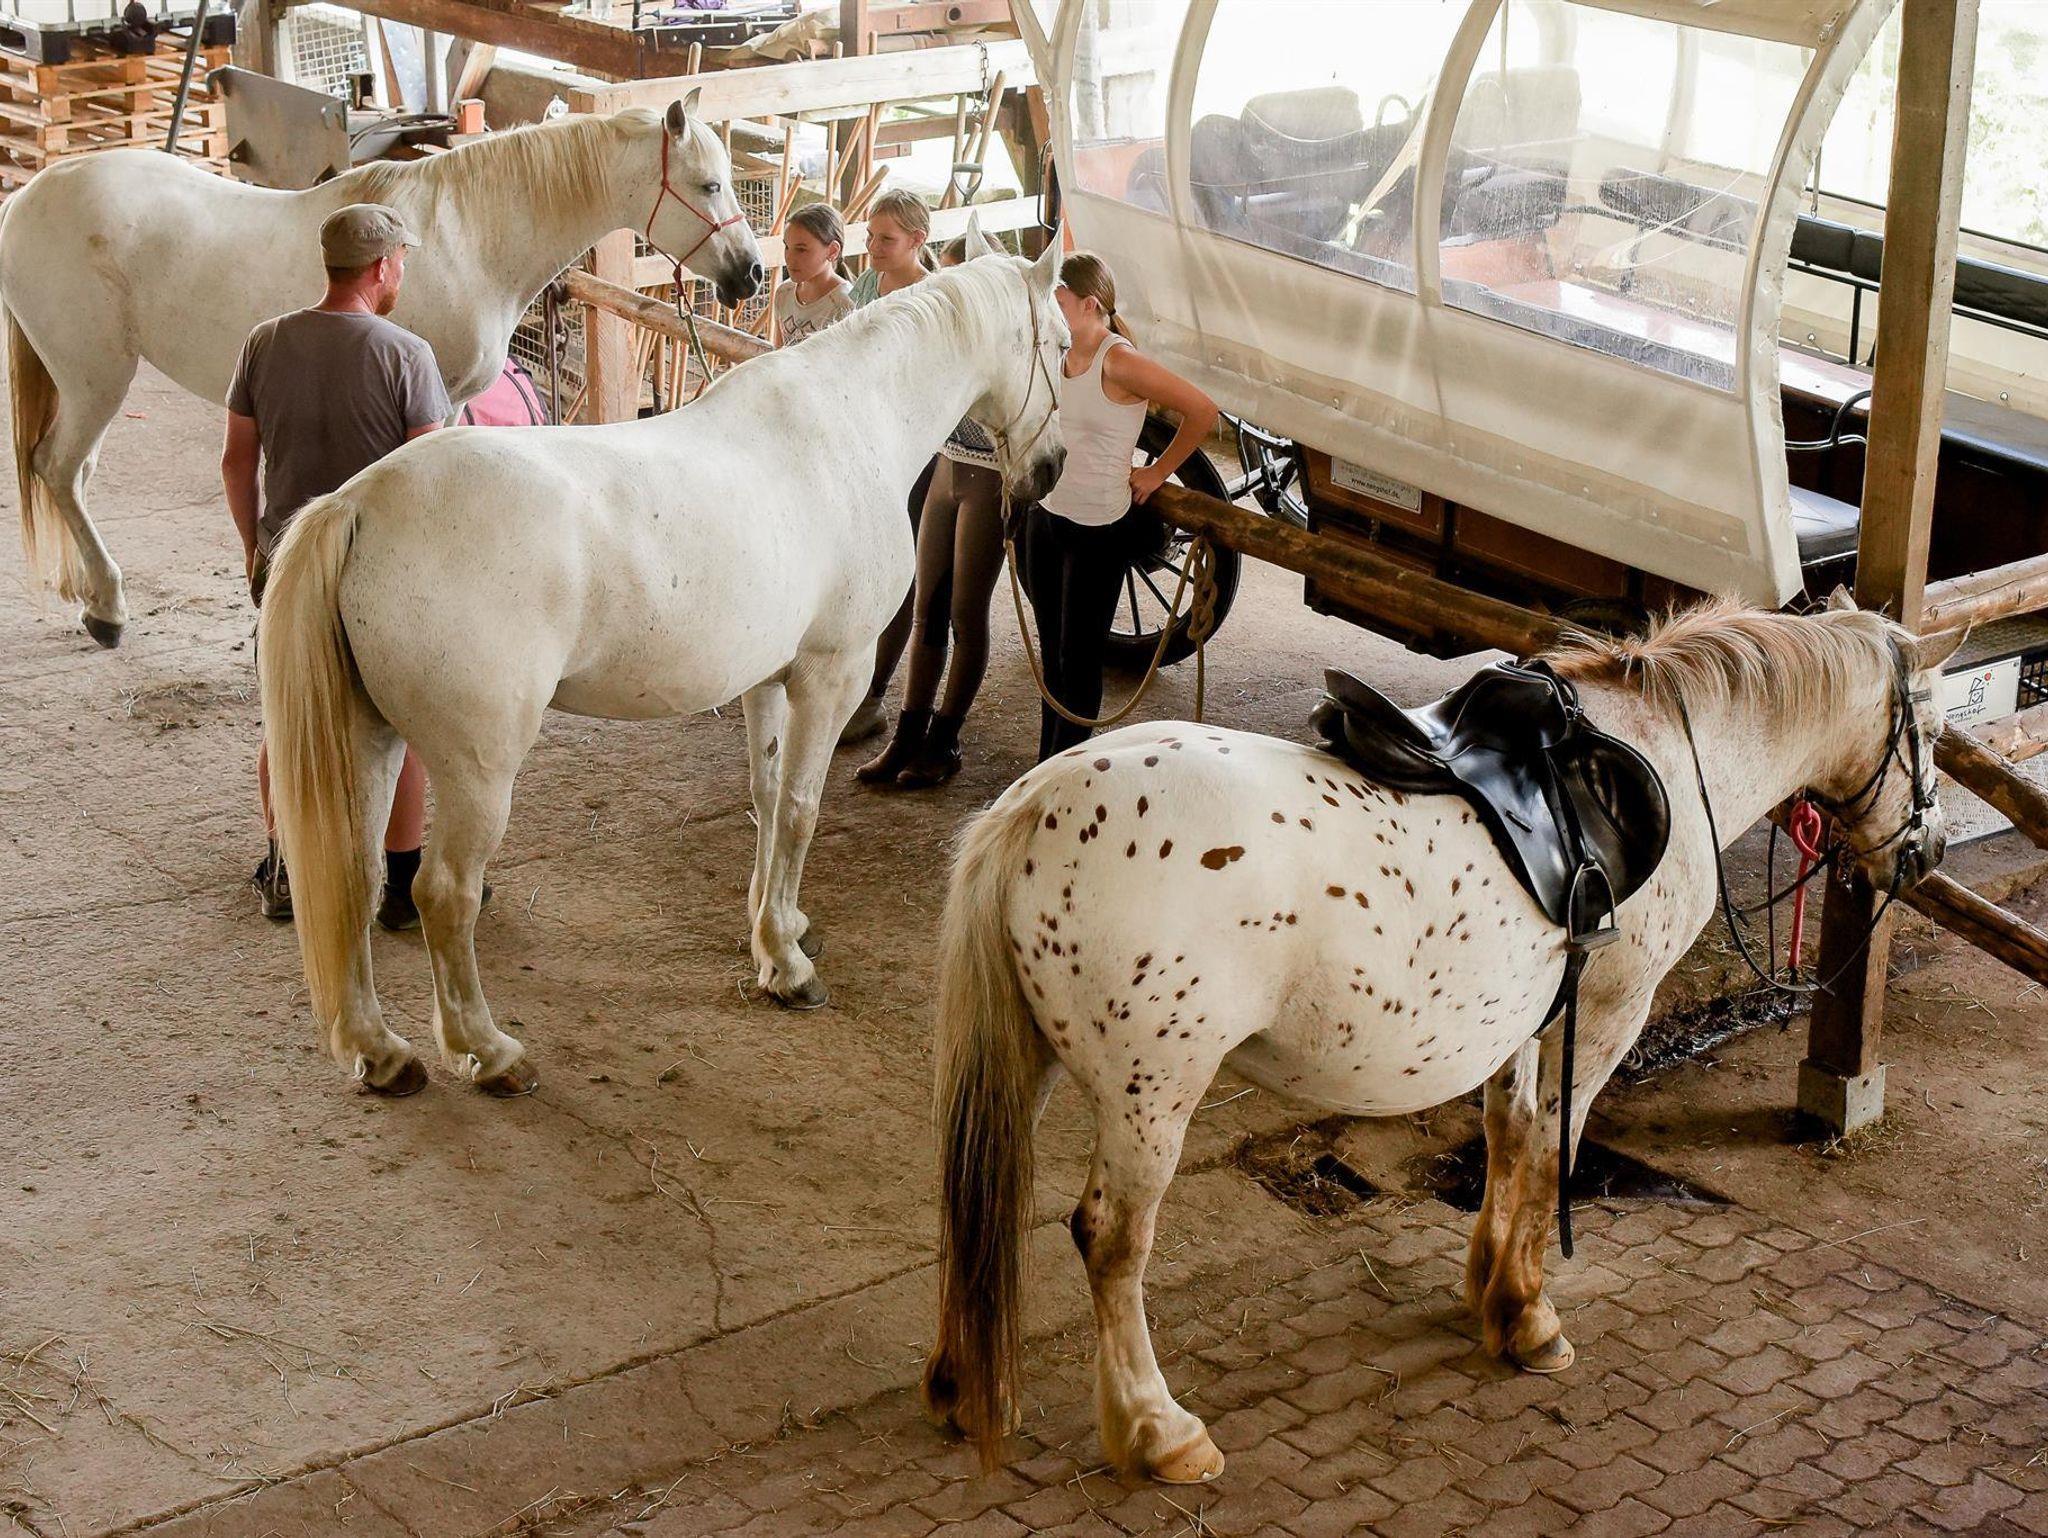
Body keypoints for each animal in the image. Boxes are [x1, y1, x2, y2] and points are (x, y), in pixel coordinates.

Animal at [1, 95, 763, 647]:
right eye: (709, 183)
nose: (751, 274)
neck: (467, 235)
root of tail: (29, 197)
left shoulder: (446, 403)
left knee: (73, 476)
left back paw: (85, 592)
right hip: (96, 378)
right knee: (57, 469)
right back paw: (107, 608)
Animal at [257, 231, 1068, 1098]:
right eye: (1061, 344)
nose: (1051, 469)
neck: (854, 419)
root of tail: (360, 503)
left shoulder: (766, 682)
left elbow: (767, 800)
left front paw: (770, 929)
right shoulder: (832, 676)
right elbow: (803, 809)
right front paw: (789, 966)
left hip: (370, 739)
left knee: (355, 876)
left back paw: (381, 1051)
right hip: (478, 767)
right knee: (443, 893)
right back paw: (490, 1051)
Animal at [922, 596, 1958, 1483]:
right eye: (1935, 737)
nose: (1929, 849)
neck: (1671, 752)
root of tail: (1029, 811)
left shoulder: (1529, 1017)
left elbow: (1510, 1134)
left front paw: (1488, 1288)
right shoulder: (1611, 1010)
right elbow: (1553, 1154)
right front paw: (1530, 1316)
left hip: (1031, 1065)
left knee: (977, 1196)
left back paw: (966, 1388)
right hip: (1154, 1094)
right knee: (1111, 1240)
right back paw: (1158, 1430)